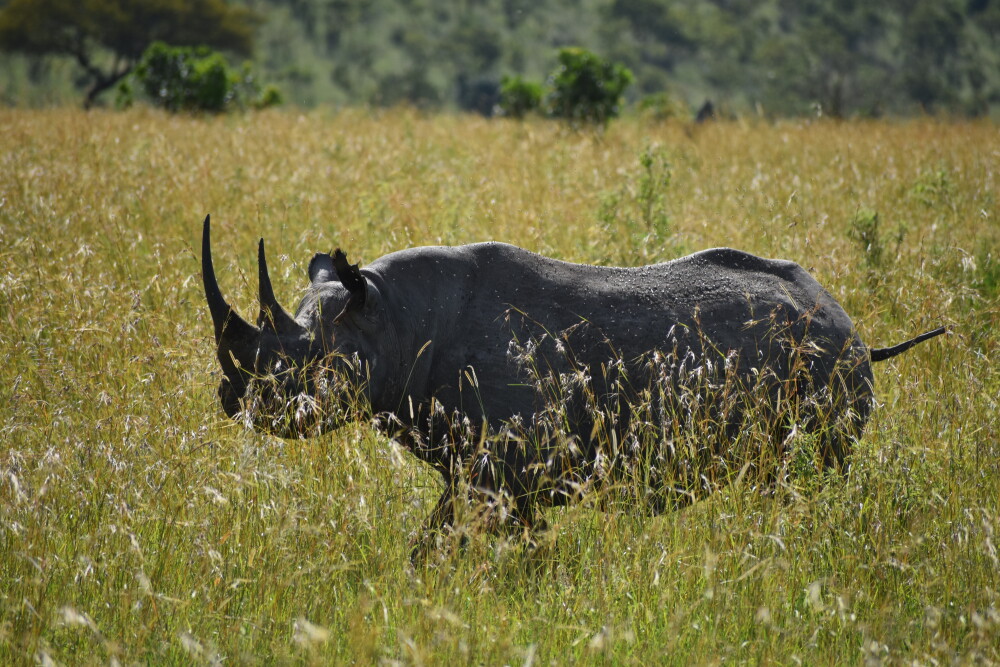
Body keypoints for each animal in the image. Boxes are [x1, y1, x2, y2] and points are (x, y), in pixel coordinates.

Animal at [201, 215, 946, 560]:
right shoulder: (477, 470)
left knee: (803, 478)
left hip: (826, 364)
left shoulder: (507, 468)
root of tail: (853, 325)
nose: (236, 400)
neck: (390, 316)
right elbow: (434, 542)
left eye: (306, 364)